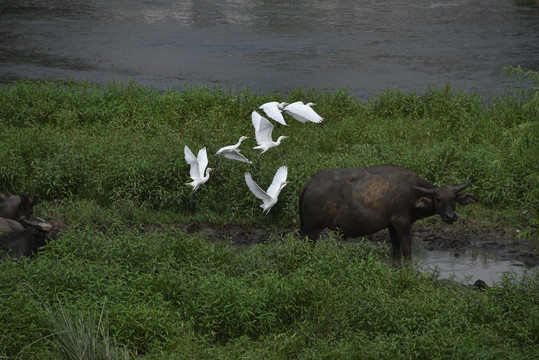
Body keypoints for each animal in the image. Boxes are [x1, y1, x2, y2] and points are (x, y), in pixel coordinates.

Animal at [300, 165, 480, 262]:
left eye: (454, 198)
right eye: (438, 199)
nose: (450, 217)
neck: (412, 192)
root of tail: (310, 183)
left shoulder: (392, 225)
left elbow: (396, 248)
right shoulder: (402, 222)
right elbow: (407, 248)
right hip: (312, 230)